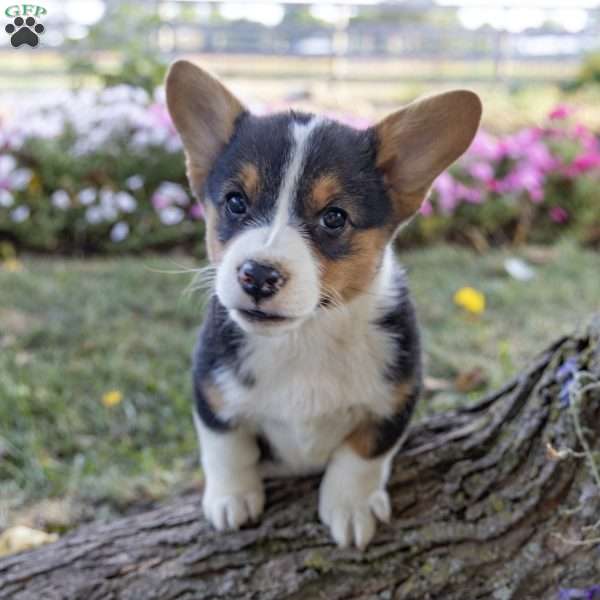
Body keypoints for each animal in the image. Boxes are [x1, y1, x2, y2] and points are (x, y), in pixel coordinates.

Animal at [165, 59, 482, 548]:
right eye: (235, 202)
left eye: (334, 217)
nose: (257, 275)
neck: (304, 336)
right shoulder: (209, 387)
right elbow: (226, 445)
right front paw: (231, 499)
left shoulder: (395, 399)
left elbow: (362, 455)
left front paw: (350, 509)